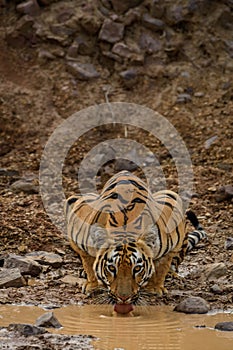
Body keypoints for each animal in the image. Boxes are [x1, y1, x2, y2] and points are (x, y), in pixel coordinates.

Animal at [64, 171, 206, 314]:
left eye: (137, 268)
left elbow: (162, 266)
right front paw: (93, 285)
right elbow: (88, 263)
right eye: (111, 268)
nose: (123, 298)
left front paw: (154, 288)